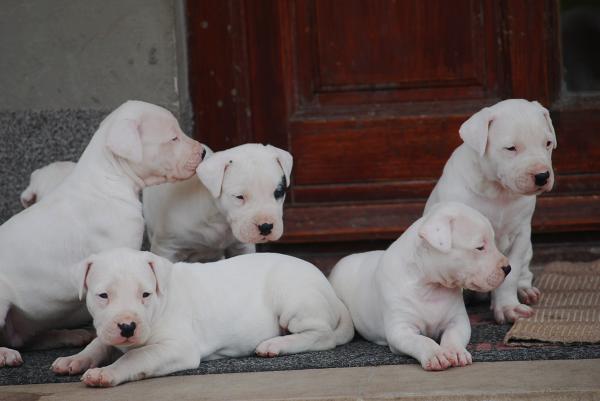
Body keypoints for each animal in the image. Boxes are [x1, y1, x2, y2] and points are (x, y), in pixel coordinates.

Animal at [0, 100, 205, 366]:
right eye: (173, 138)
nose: (203, 153)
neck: (108, 178)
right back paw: (6, 353)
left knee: (27, 339)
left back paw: (69, 336)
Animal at [51, 247, 354, 384]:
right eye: (103, 295)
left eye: (145, 294)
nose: (127, 327)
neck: (161, 301)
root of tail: (328, 288)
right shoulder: (107, 330)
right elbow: (98, 343)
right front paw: (74, 359)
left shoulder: (177, 348)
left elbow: (136, 356)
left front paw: (107, 372)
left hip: (292, 296)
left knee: (321, 336)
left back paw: (275, 344)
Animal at [145, 144, 296, 262]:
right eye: (239, 197)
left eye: (278, 193)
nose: (266, 227)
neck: (218, 219)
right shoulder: (166, 249)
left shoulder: (241, 247)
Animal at [330, 202, 508, 370]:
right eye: (480, 247)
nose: (508, 268)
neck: (430, 286)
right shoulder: (401, 330)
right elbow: (421, 341)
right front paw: (436, 354)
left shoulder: (457, 321)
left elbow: (453, 336)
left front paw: (455, 351)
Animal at [424, 99, 556, 322]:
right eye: (510, 148)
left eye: (547, 143)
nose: (542, 176)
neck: (498, 192)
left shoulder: (520, 236)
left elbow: (511, 274)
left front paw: (509, 307)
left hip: (528, 250)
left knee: (524, 273)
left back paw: (525, 290)